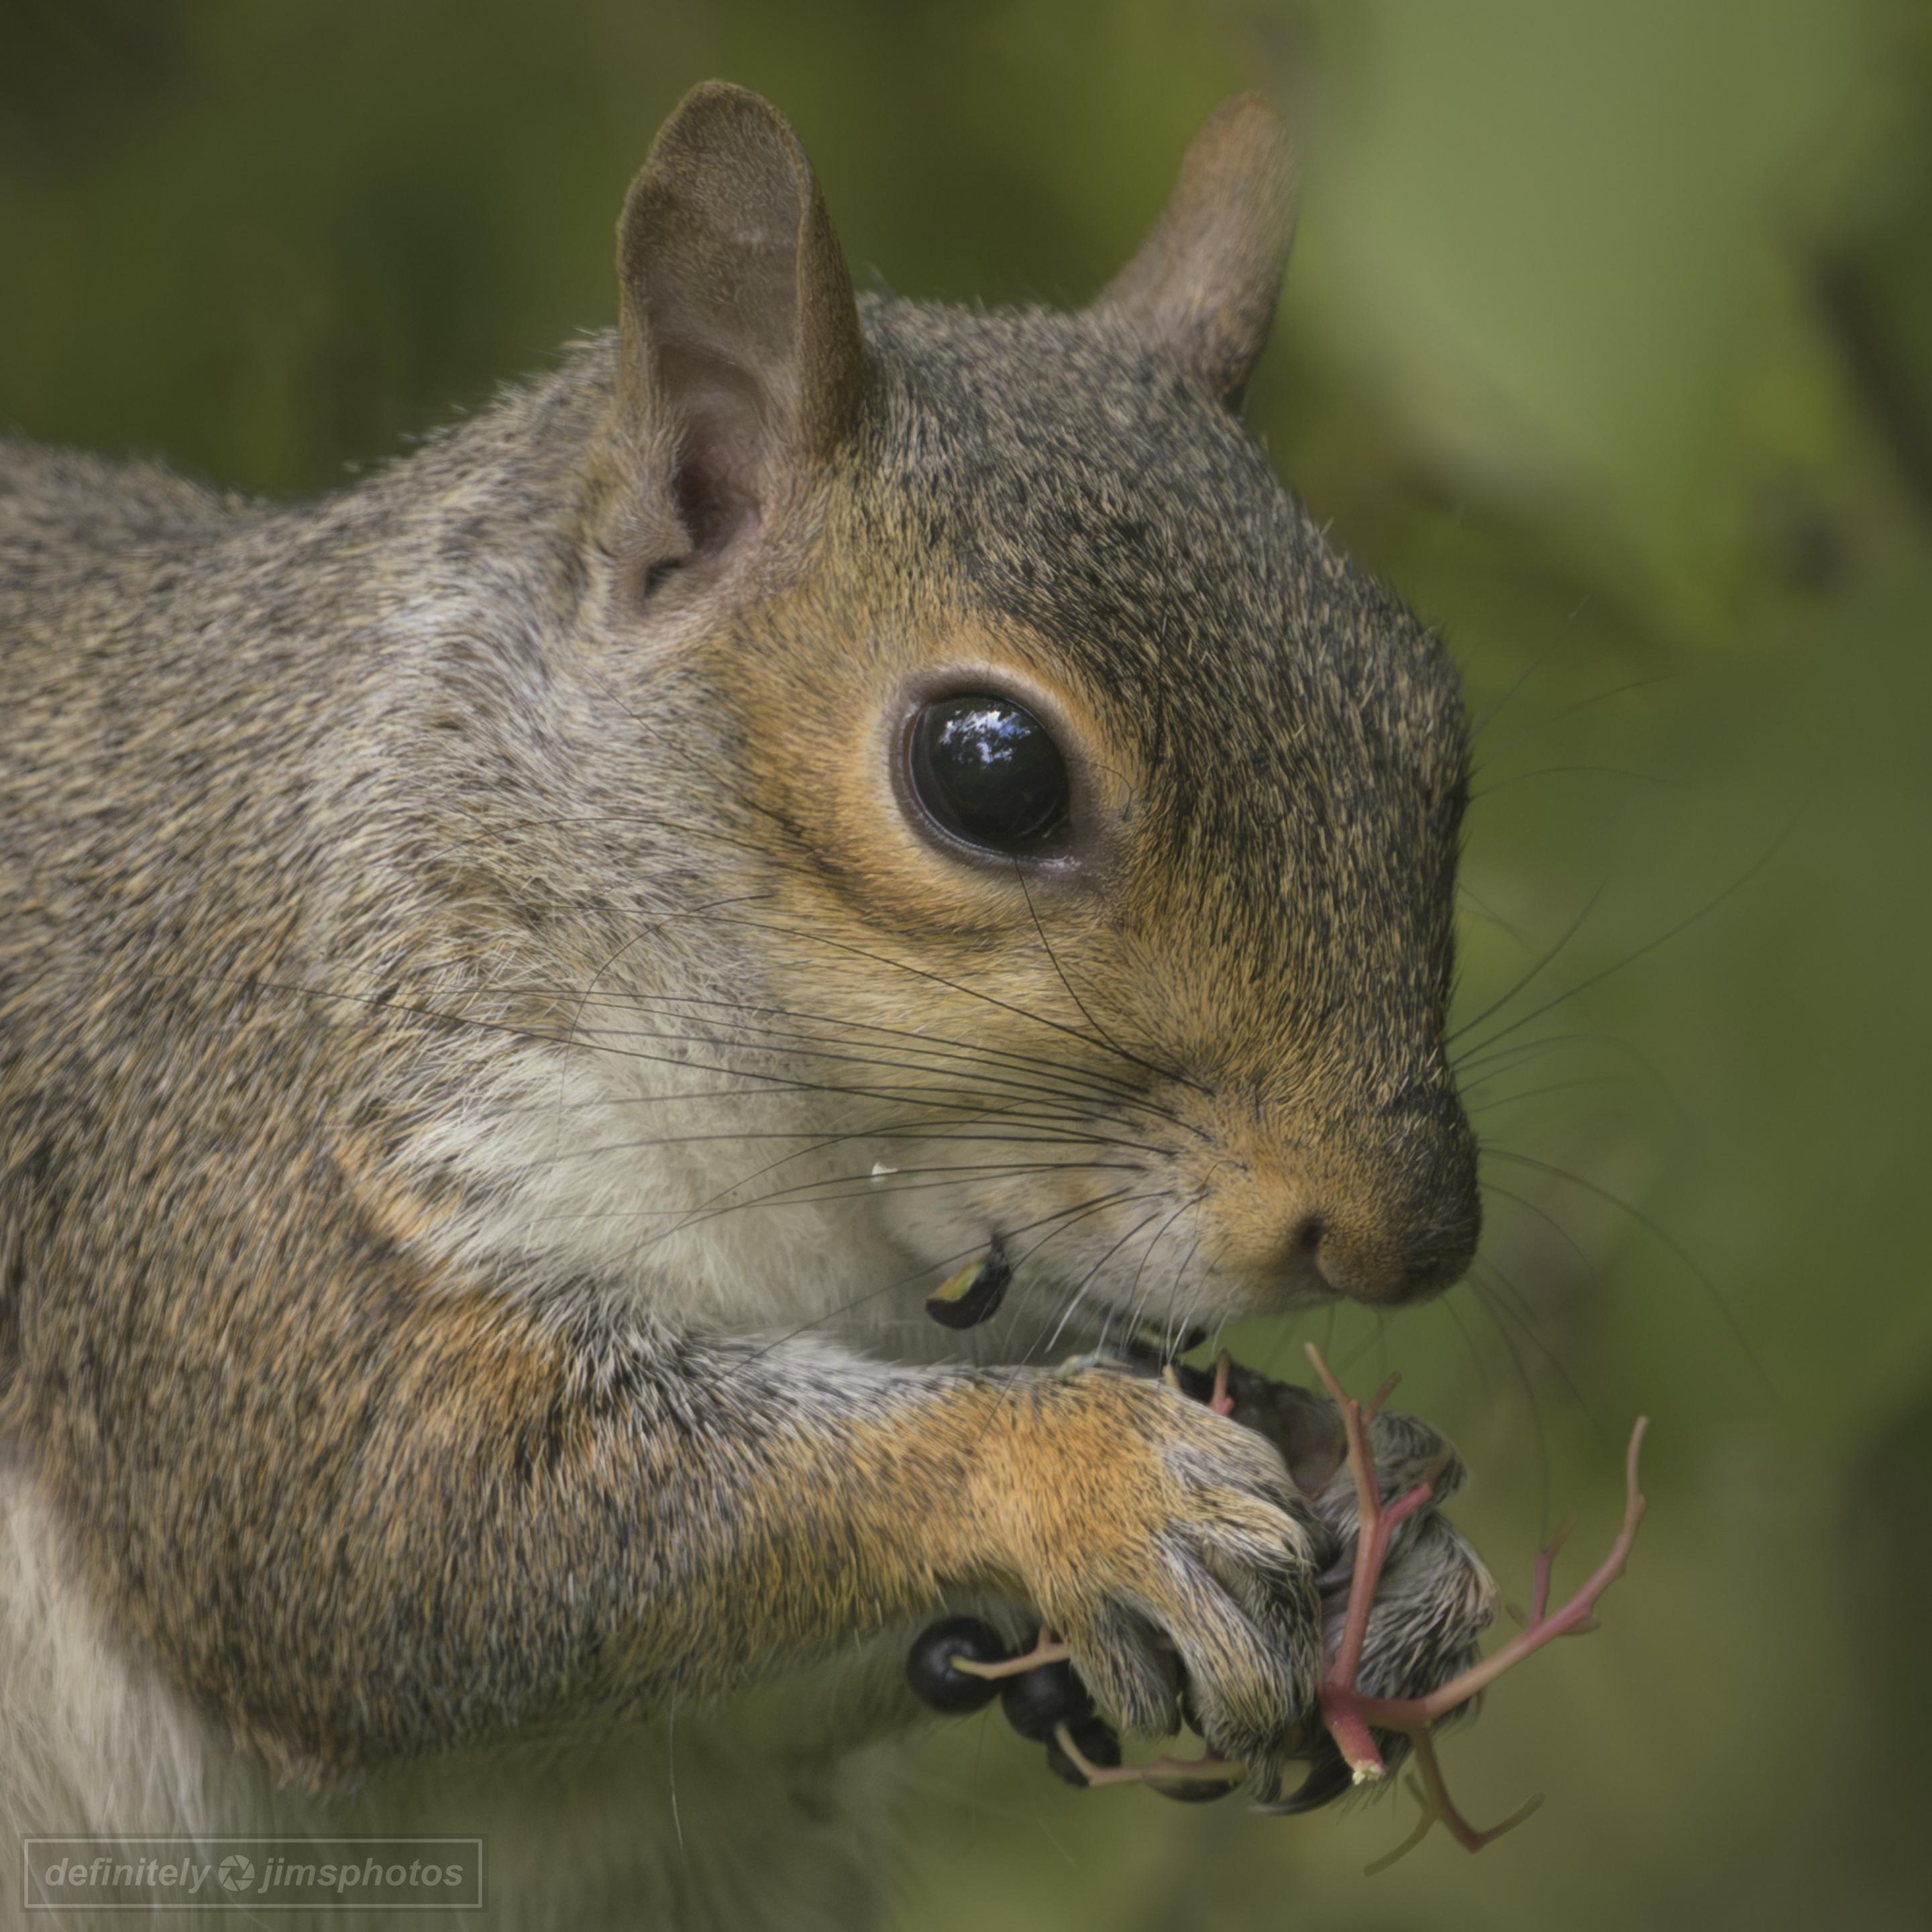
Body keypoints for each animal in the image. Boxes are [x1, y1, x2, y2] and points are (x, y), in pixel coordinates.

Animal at [0, 82, 1496, 1931]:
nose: (1408, 1234)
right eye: (989, 772)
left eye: (1435, 723)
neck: (827, 1211)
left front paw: (1387, 1524)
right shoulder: (231, 1156)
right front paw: (1088, 1479)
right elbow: (381, 1536)